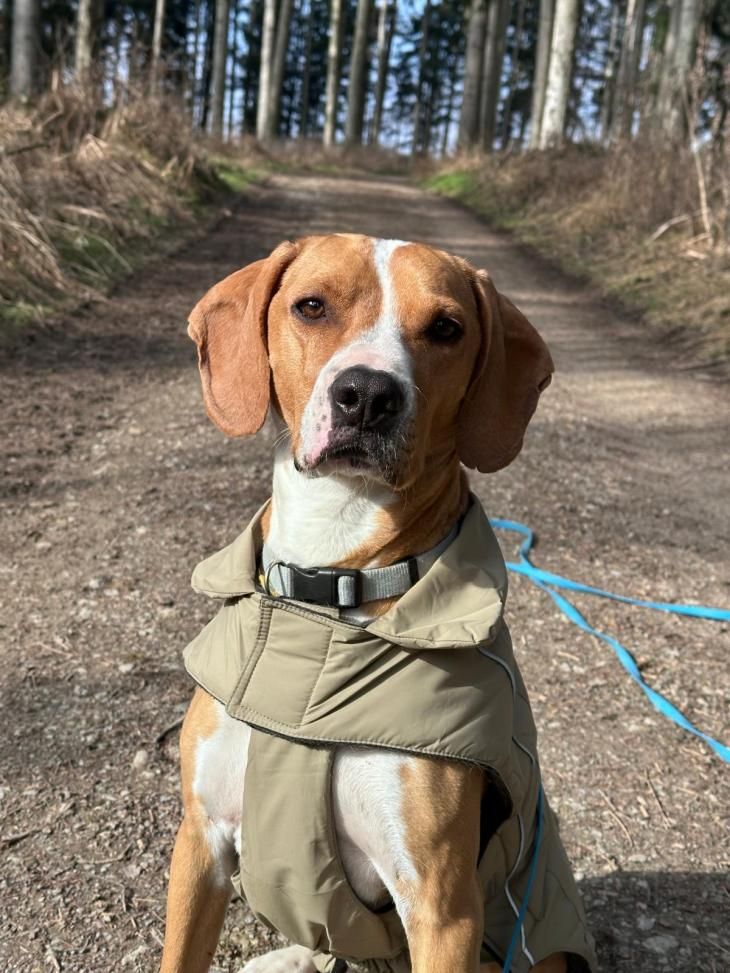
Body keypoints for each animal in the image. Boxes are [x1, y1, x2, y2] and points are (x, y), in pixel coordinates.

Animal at [159, 235, 596, 973]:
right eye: (311, 306)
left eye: (446, 329)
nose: (367, 395)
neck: (327, 598)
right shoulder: (200, 842)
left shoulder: (442, 911)